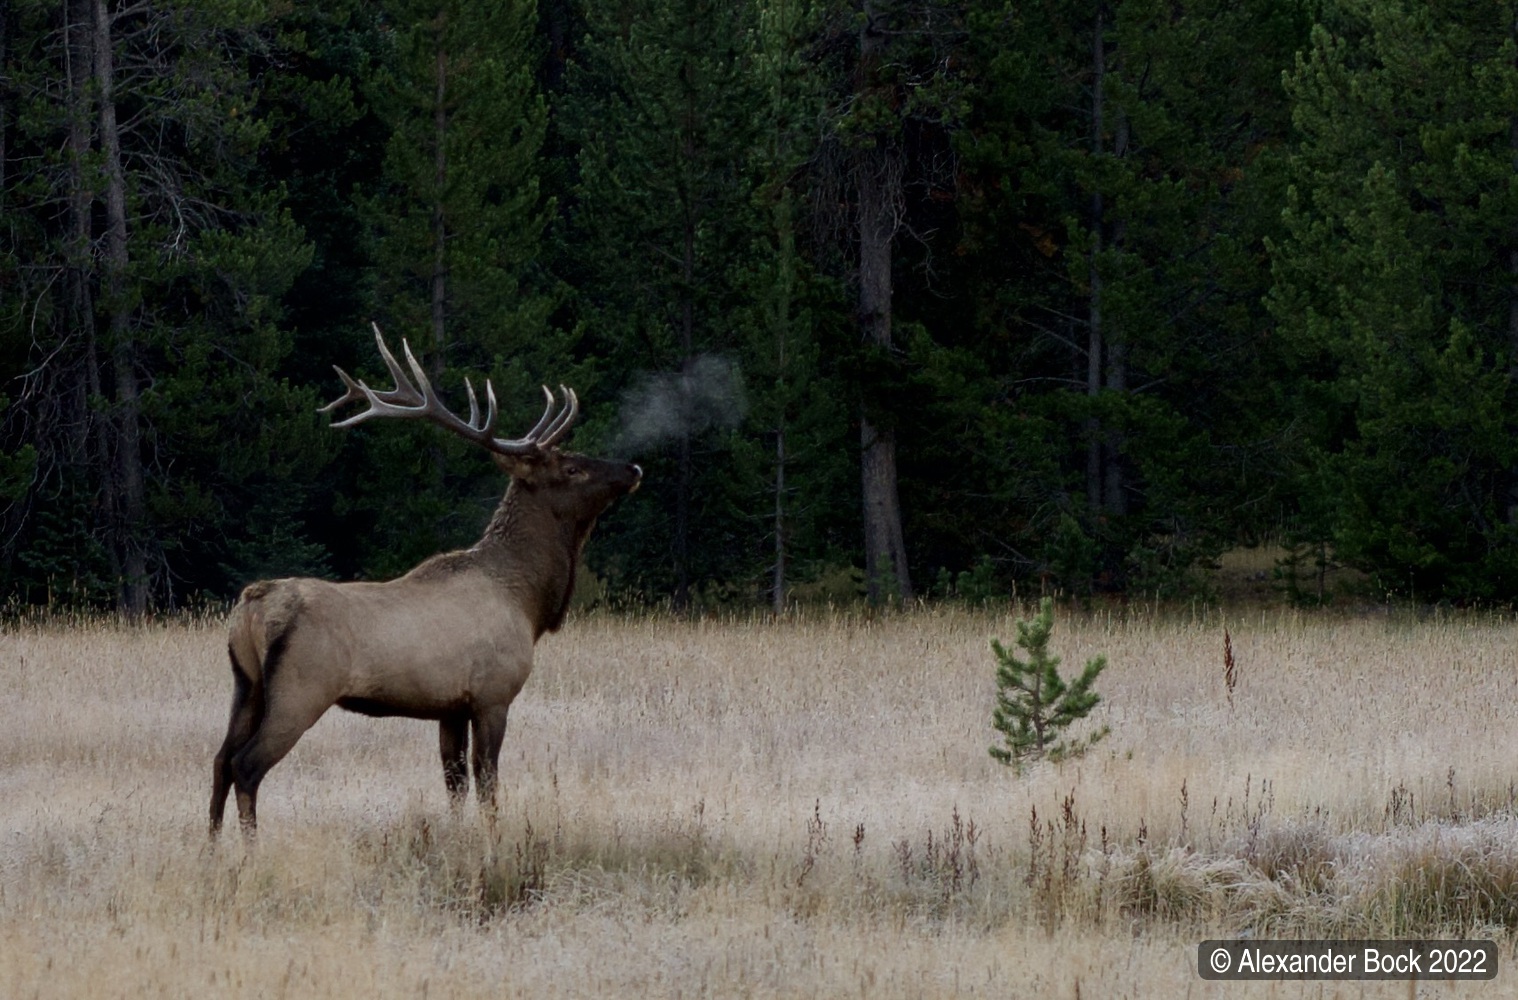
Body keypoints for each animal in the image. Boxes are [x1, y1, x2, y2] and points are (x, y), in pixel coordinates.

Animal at [209, 329, 640, 837]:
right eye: (571, 467)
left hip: (245, 685)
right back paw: (249, 849)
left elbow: (454, 783)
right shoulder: (493, 693)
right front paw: (493, 840)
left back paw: (211, 847)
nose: (632, 469)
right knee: (246, 765)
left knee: (219, 760)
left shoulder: (449, 705)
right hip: (300, 688)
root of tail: (252, 604)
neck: (528, 600)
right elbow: (487, 783)